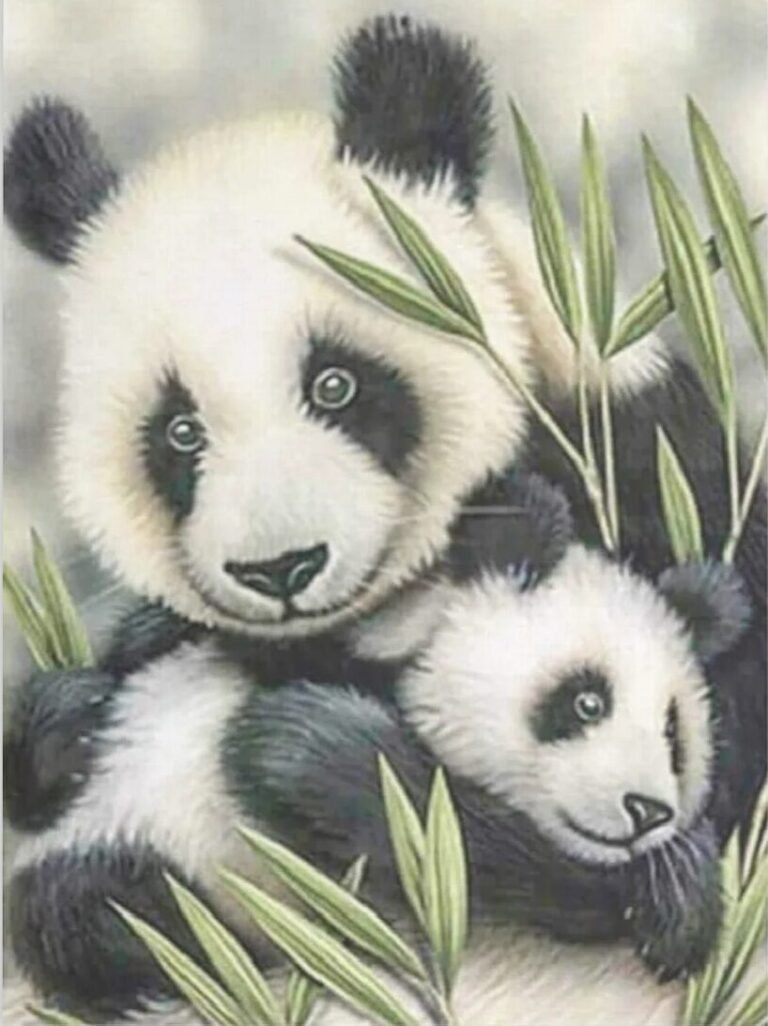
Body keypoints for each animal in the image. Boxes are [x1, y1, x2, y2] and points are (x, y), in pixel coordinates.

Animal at [6, 475, 748, 1022]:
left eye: (674, 734)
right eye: (587, 701)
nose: (649, 810)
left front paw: (676, 890)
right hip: (127, 855)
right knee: (93, 912)